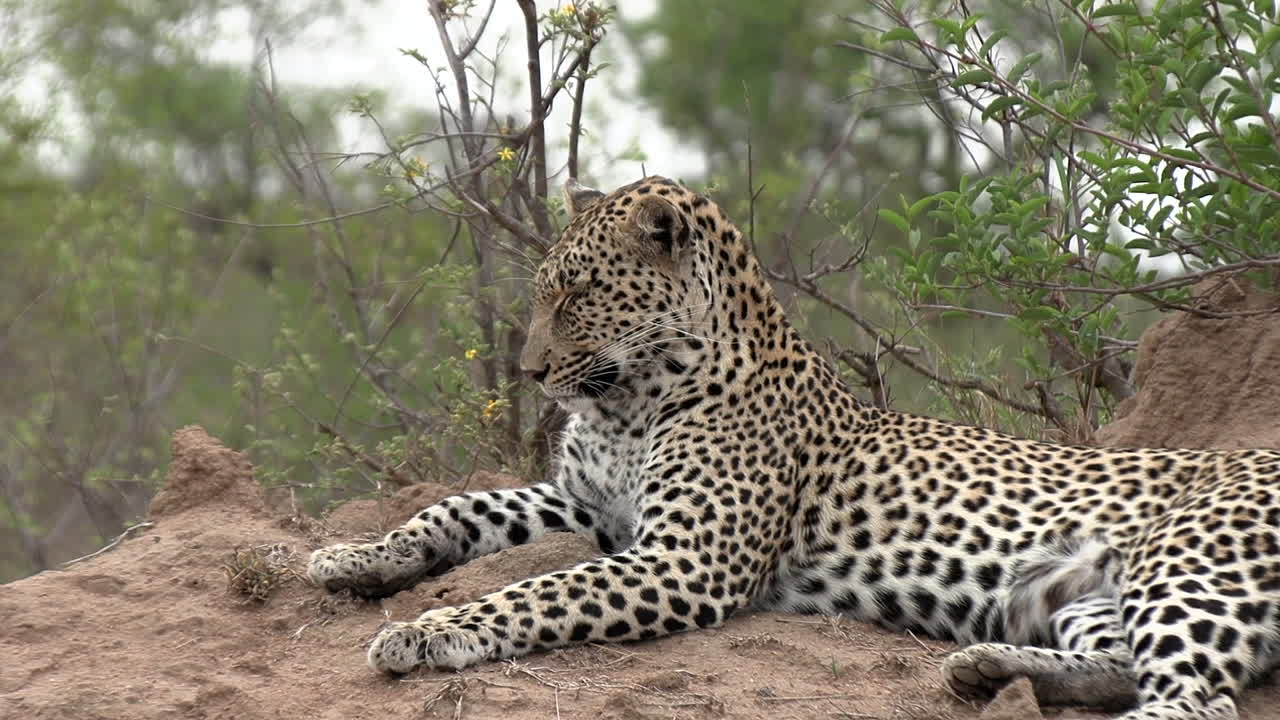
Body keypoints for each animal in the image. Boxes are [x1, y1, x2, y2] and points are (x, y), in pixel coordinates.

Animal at [308, 176, 1280, 719]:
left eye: (578, 292)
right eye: (547, 290)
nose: (532, 370)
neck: (630, 400)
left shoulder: (684, 560)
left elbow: (538, 591)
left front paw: (425, 631)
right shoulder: (585, 506)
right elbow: (457, 507)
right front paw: (355, 558)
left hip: (1185, 566)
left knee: (1195, 703)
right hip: (1084, 588)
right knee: (1123, 666)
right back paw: (985, 671)